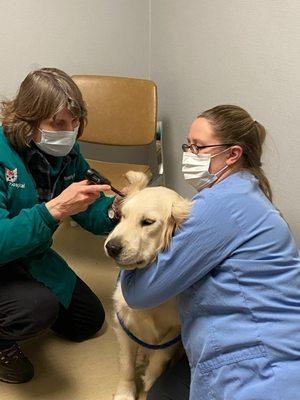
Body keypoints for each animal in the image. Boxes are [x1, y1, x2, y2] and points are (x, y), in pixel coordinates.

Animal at [104, 171, 191, 400]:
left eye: (148, 222)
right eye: (122, 216)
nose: (111, 247)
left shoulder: (174, 331)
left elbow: (159, 359)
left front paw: (151, 381)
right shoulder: (124, 324)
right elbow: (127, 365)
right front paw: (125, 392)